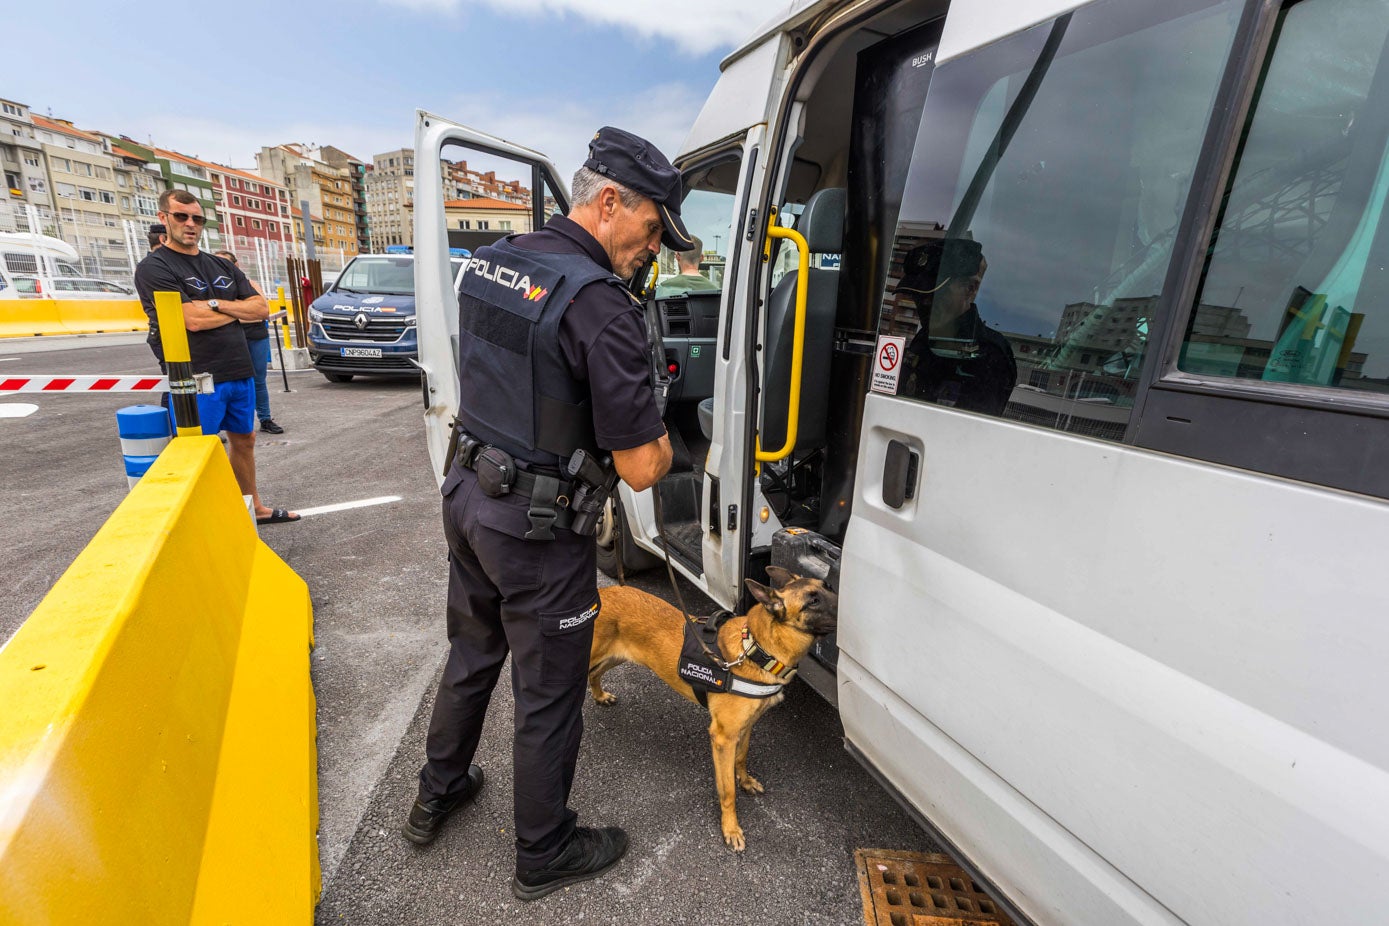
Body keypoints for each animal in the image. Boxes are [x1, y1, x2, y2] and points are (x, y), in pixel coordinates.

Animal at [586, 560, 833, 849]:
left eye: (827, 586)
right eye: (812, 601)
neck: (755, 649)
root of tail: (603, 592)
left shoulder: (745, 727)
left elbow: (742, 757)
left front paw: (745, 780)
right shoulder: (723, 738)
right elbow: (727, 790)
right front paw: (731, 828)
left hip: (616, 657)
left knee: (595, 674)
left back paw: (600, 695)